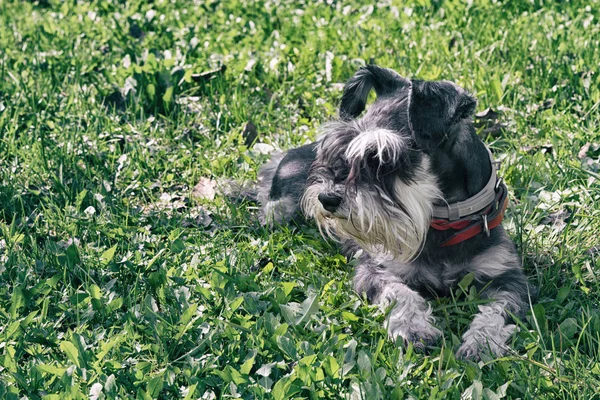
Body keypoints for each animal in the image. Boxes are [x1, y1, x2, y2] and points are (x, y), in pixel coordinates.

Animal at [248, 65, 528, 360]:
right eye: (339, 149)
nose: (327, 198)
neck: (443, 222)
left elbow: (497, 312)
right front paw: (414, 329)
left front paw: (482, 342)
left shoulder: (507, 278)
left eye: (381, 158)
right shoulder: (375, 269)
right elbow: (399, 293)